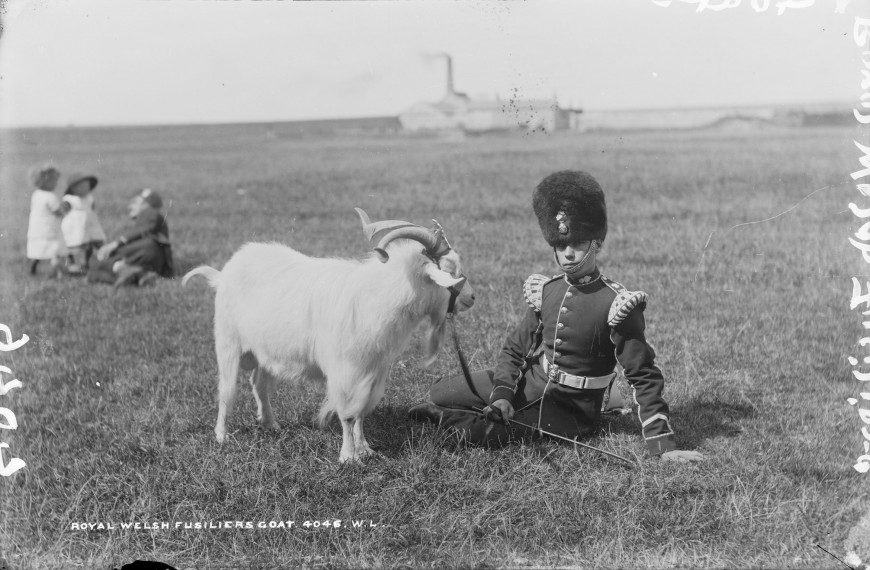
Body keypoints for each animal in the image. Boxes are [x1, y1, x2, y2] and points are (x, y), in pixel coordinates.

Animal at [182, 208, 475, 462]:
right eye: (450, 270)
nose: (472, 297)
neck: (378, 296)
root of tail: (223, 273)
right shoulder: (345, 370)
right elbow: (348, 414)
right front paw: (348, 457)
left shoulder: (373, 369)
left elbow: (361, 412)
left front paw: (365, 449)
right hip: (228, 342)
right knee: (226, 390)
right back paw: (222, 435)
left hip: (267, 350)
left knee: (259, 384)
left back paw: (270, 424)